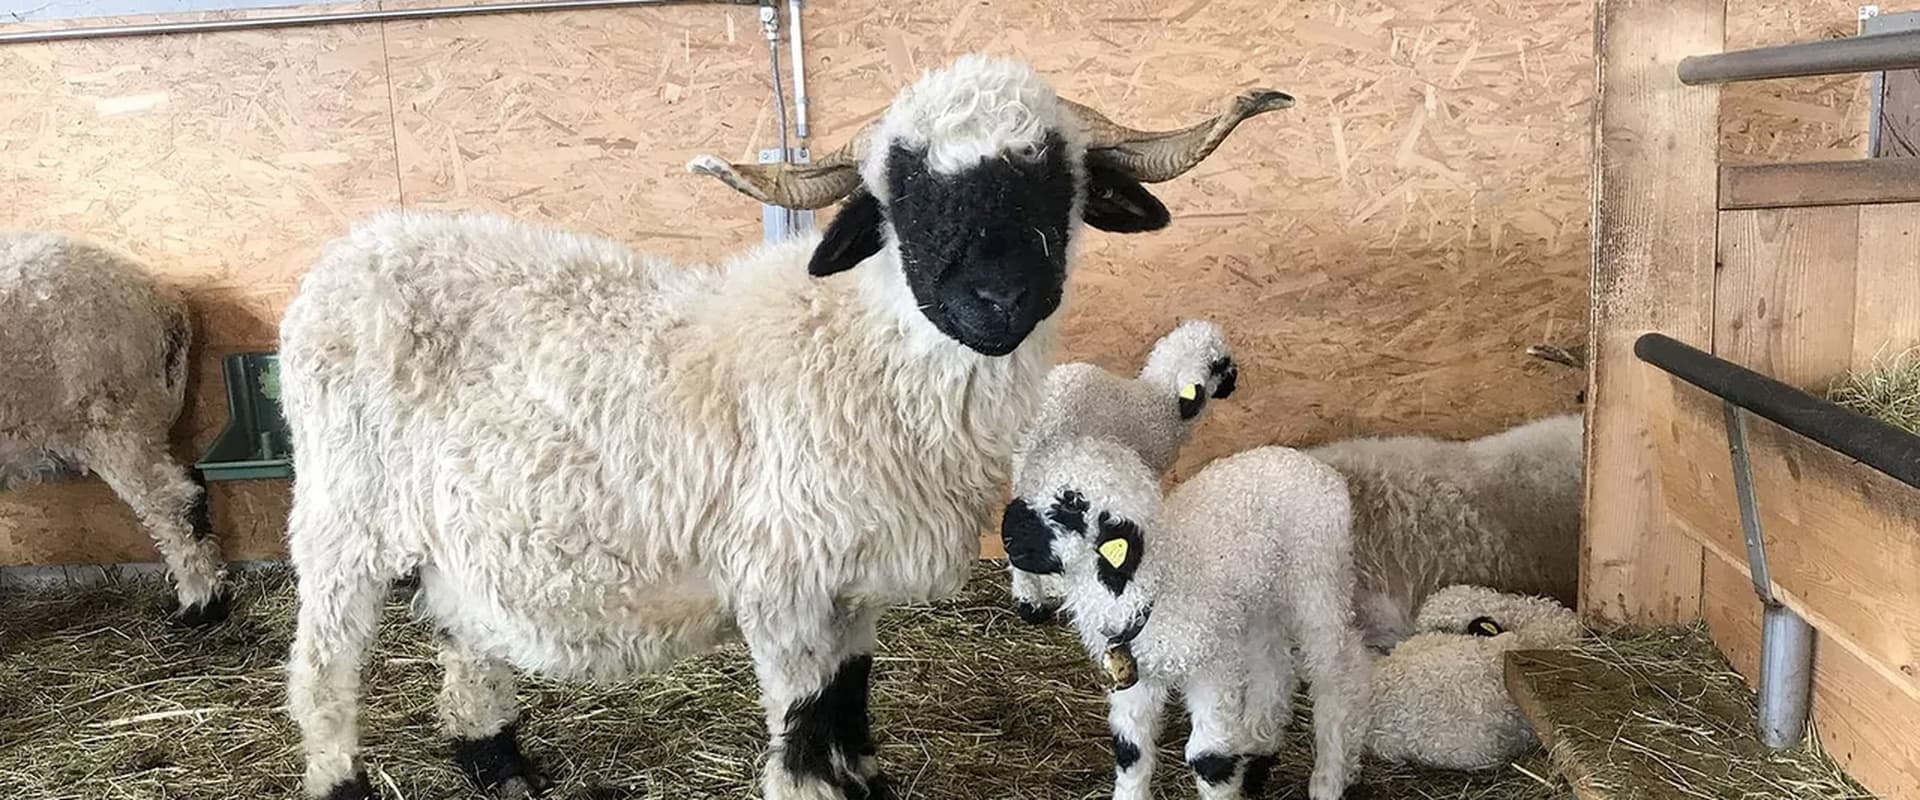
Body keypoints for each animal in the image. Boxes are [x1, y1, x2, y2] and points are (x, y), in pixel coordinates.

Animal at [998, 437, 1374, 798]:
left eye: (1072, 503)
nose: (1007, 535)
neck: (1156, 581)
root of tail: (1313, 464)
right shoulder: (1138, 674)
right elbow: (1130, 752)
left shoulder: (1212, 668)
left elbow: (1209, 760)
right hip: (1260, 602)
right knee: (1275, 666)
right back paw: (1258, 751)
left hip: (1319, 583)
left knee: (1334, 681)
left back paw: (1329, 777)